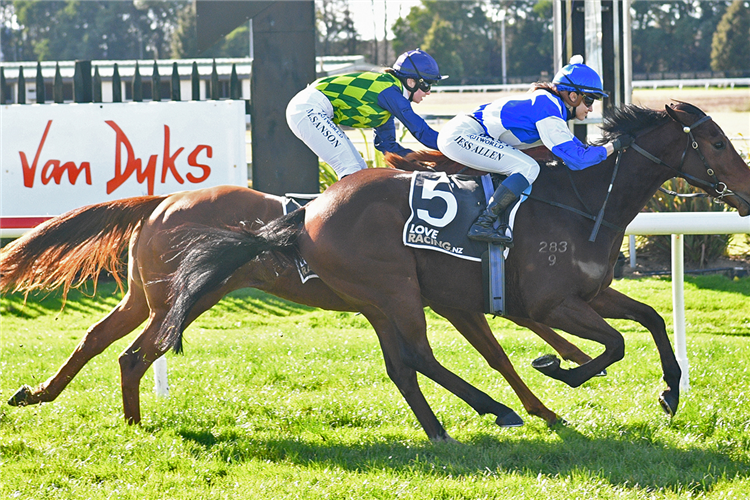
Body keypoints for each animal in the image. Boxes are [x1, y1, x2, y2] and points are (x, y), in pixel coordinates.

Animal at [1, 151, 588, 430]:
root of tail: (161, 201)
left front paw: (563, 373)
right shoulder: (447, 297)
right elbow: (517, 337)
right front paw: (557, 380)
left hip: (148, 297)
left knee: (99, 339)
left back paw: (50, 396)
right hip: (180, 299)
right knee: (133, 352)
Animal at [162, 102, 750, 442]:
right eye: (718, 142)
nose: (746, 192)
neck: (582, 201)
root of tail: (306, 213)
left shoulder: (591, 294)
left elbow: (650, 319)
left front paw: (670, 391)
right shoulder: (552, 303)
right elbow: (614, 345)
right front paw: (558, 368)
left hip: (376, 300)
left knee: (401, 364)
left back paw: (445, 428)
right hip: (396, 289)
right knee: (418, 355)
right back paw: (497, 410)